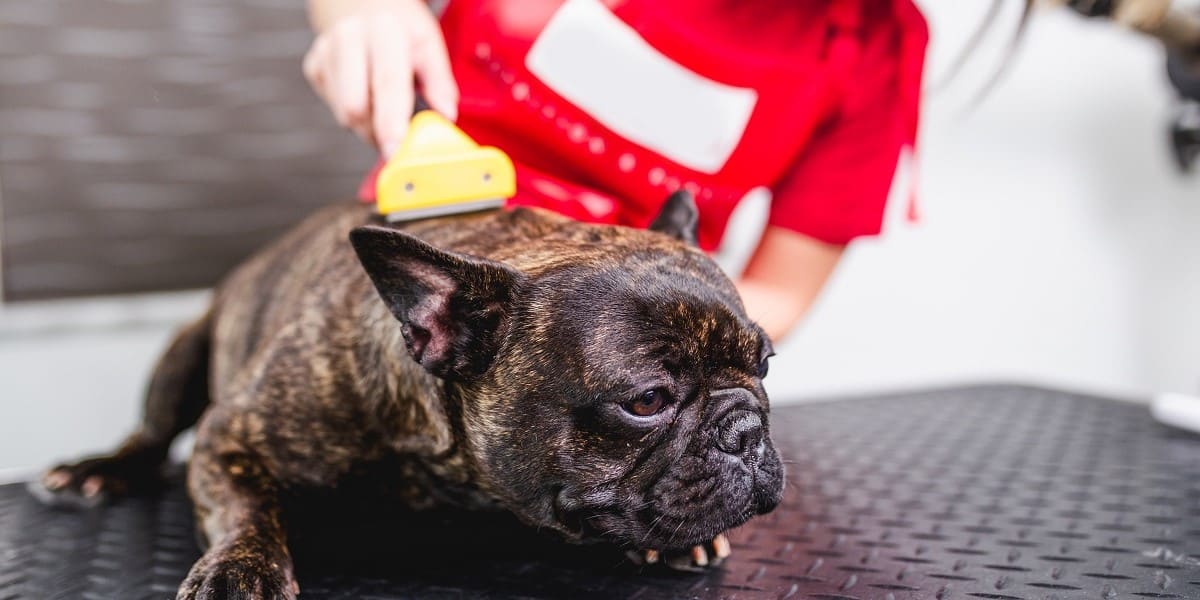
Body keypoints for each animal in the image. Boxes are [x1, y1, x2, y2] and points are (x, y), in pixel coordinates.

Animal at [32, 193, 782, 600]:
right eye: (647, 401)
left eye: (766, 364)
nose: (745, 430)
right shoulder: (232, 434)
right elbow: (244, 504)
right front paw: (239, 568)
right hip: (184, 354)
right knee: (153, 432)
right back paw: (100, 468)